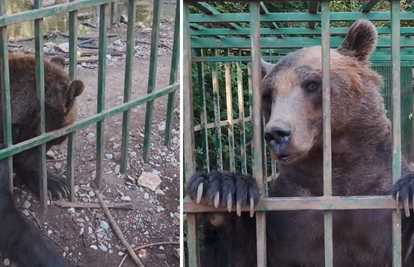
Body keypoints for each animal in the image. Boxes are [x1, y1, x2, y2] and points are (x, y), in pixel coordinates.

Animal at [186, 19, 414, 267]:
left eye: (312, 84)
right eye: (268, 95)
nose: (276, 133)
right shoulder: (290, 208)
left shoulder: (378, 195)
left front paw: (410, 187)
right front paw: (223, 188)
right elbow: (241, 252)